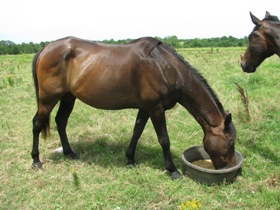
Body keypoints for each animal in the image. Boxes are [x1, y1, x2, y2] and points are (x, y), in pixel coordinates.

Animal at [31, 36, 236, 179]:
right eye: (230, 141)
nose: (228, 168)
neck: (165, 67)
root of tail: (44, 49)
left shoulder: (145, 108)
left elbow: (136, 132)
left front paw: (130, 159)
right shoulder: (156, 109)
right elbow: (164, 140)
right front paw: (172, 170)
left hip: (68, 97)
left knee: (61, 121)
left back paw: (69, 152)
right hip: (48, 99)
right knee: (37, 124)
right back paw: (36, 160)